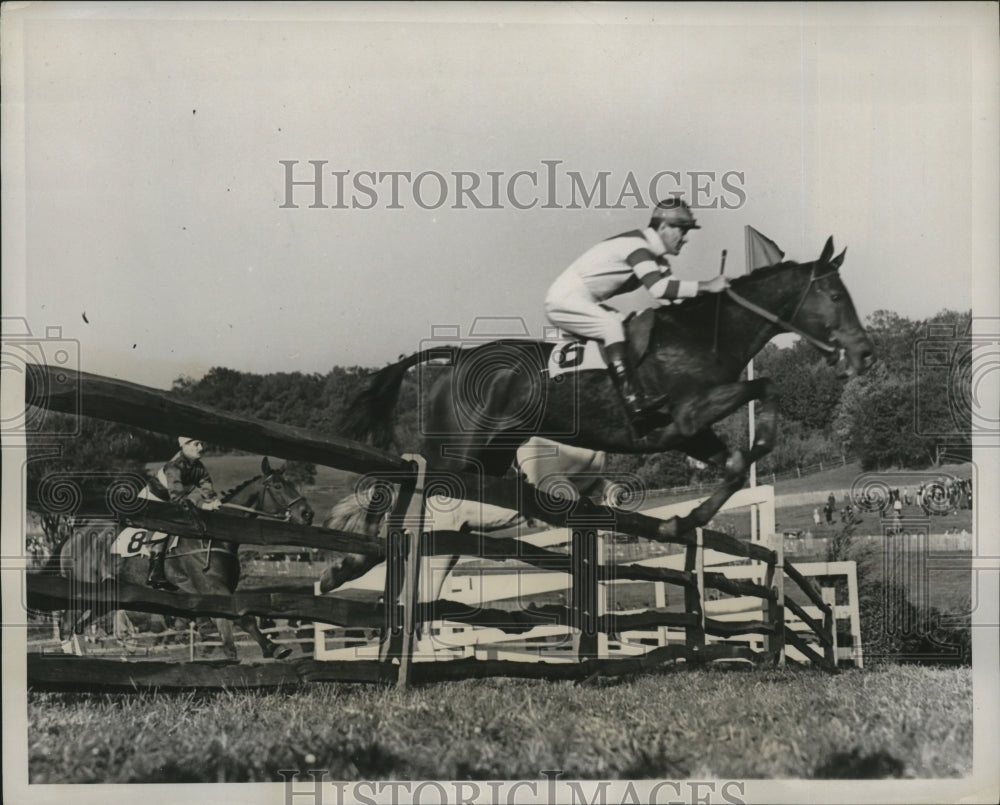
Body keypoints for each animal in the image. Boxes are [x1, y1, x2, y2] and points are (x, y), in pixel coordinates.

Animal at [56, 458, 314, 660]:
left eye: (293, 484)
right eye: (279, 486)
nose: (307, 513)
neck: (216, 537)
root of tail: (74, 536)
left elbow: (227, 637)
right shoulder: (212, 587)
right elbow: (244, 620)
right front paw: (274, 647)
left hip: (108, 592)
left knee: (78, 626)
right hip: (85, 587)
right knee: (68, 624)